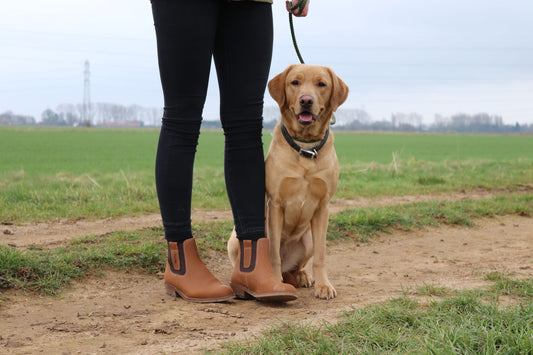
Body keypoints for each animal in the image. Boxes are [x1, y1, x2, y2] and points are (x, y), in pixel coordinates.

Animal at [227, 64, 348, 300]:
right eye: (295, 82)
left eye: (321, 84)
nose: (306, 100)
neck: (305, 148)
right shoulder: (276, 204)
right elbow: (273, 253)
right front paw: (273, 283)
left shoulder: (323, 207)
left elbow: (321, 255)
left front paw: (324, 285)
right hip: (236, 238)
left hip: (307, 239)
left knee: (295, 268)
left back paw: (301, 277)